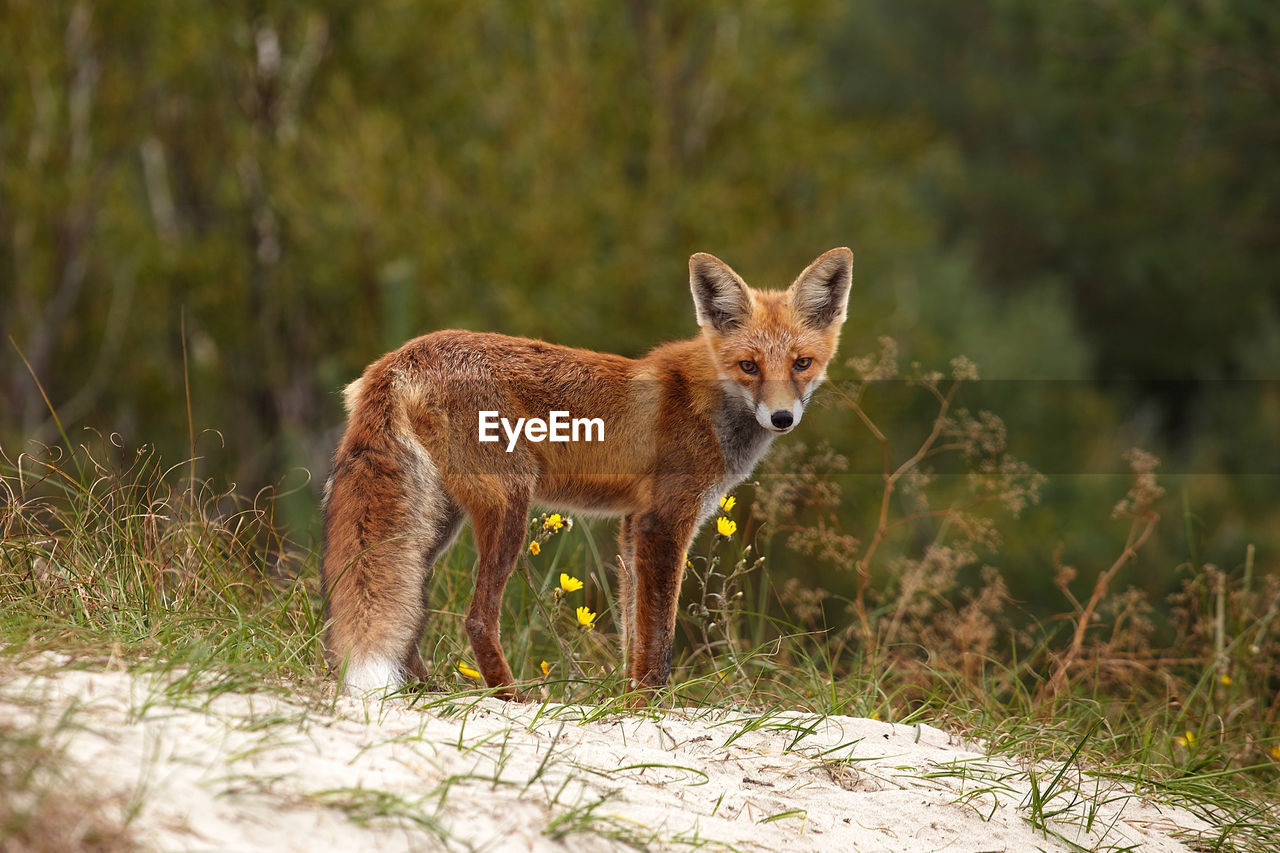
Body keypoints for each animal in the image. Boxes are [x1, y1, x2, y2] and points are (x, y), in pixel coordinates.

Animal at [325, 247, 855, 696]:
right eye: (749, 366)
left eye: (802, 363)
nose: (782, 418)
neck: (707, 403)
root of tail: (399, 357)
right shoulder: (665, 522)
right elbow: (659, 639)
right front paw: (650, 707)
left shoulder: (633, 525)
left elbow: (633, 634)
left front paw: (626, 700)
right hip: (509, 504)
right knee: (475, 619)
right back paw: (512, 699)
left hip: (435, 523)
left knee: (410, 612)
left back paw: (428, 691)